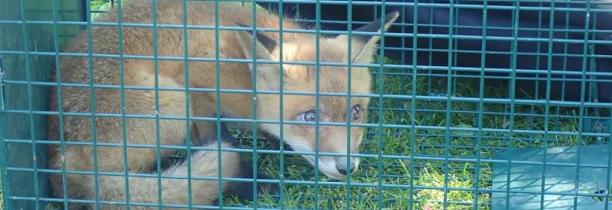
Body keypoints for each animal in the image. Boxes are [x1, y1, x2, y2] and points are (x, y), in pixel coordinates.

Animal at [45, 0, 400, 208]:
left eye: (356, 112)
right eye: (310, 116)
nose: (346, 168)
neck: (243, 72)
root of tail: (57, 156)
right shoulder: (196, 83)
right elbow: (218, 140)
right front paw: (246, 181)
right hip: (172, 102)